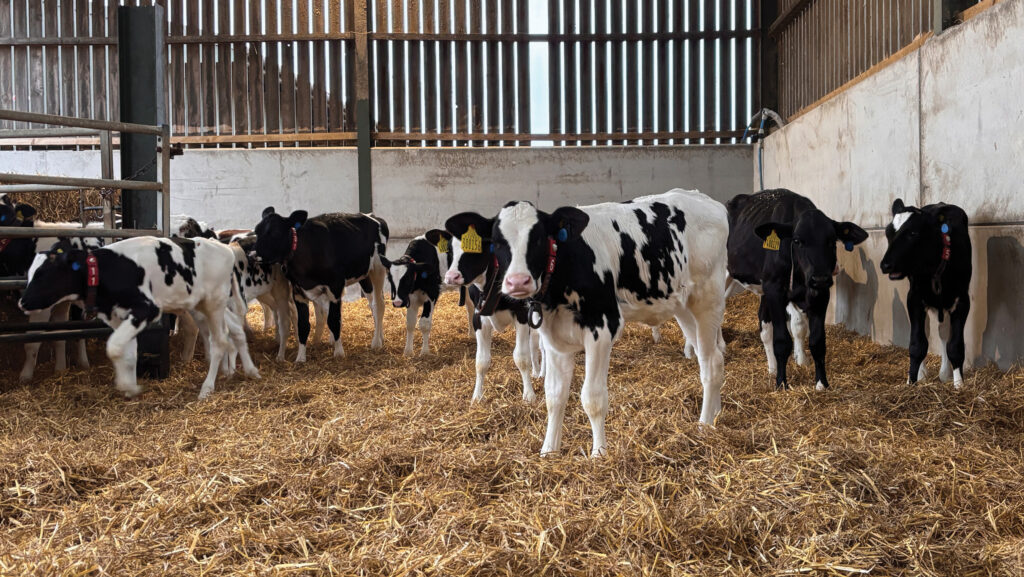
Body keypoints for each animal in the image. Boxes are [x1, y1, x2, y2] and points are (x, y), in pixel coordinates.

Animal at [19, 236, 260, 399]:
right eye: (29, 272)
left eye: (43, 273)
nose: (22, 302)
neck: (110, 269)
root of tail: (224, 247)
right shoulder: (117, 316)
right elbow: (127, 351)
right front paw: (129, 385)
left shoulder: (147, 309)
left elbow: (114, 347)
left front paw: (128, 385)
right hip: (203, 305)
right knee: (234, 330)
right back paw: (248, 370)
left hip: (214, 303)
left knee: (219, 341)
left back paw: (207, 388)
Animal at [253, 207, 390, 362]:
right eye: (257, 231)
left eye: (275, 232)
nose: (253, 255)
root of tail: (372, 216)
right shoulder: (298, 292)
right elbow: (303, 325)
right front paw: (300, 357)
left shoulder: (335, 287)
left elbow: (334, 320)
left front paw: (339, 353)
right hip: (364, 275)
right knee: (372, 303)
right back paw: (380, 337)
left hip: (378, 268)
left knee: (379, 305)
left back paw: (376, 343)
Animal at [486, 189, 729, 456]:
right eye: (496, 242)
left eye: (539, 239)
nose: (517, 281)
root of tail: (705, 199)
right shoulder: (555, 338)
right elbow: (555, 396)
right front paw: (549, 451)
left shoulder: (601, 329)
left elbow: (592, 398)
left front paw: (598, 454)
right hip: (682, 306)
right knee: (710, 357)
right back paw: (715, 414)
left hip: (708, 300)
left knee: (711, 362)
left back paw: (704, 425)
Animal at [726, 189, 868, 391]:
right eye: (797, 240)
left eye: (832, 241)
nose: (820, 277)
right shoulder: (775, 290)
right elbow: (782, 341)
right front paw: (781, 384)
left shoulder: (820, 293)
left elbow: (817, 340)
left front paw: (821, 384)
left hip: (765, 290)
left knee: (764, 324)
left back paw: (772, 368)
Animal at [880, 198, 971, 389]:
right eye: (888, 232)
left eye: (913, 233)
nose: (885, 265)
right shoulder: (914, 298)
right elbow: (917, 344)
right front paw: (911, 381)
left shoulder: (962, 300)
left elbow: (955, 346)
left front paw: (959, 385)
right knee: (928, 331)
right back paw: (922, 373)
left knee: (943, 332)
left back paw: (945, 373)